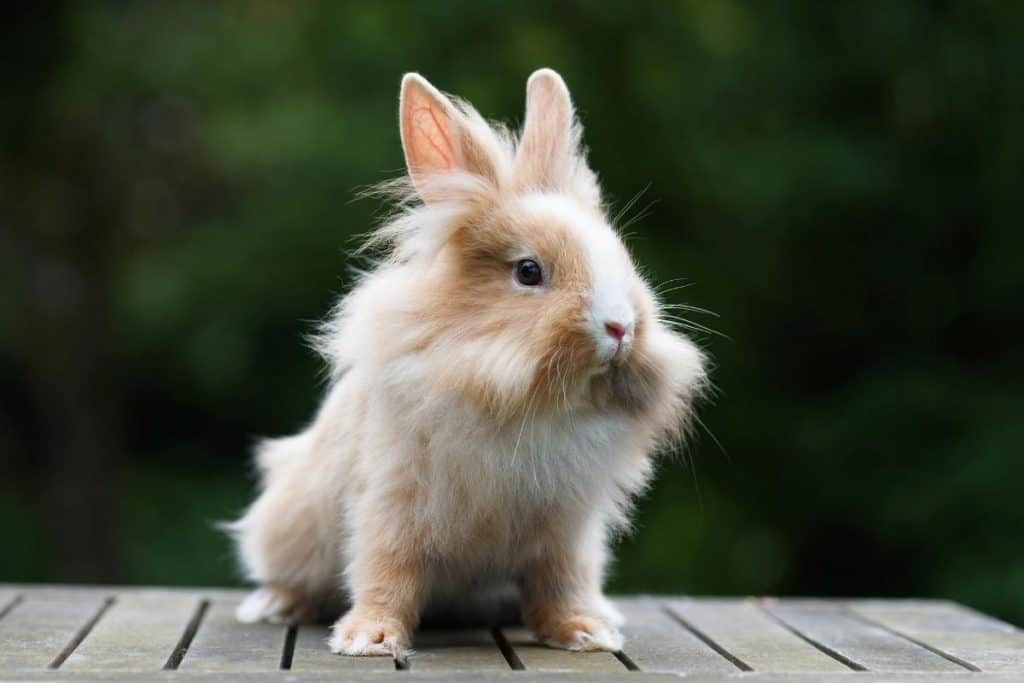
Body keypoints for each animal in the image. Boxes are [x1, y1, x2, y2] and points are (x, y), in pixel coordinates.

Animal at [228, 68, 708, 655]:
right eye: (528, 271)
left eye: (623, 259)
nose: (620, 328)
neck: (528, 402)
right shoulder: (393, 501)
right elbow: (387, 570)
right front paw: (370, 638)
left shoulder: (567, 529)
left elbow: (563, 581)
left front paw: (584, 632)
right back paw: (275, 605)